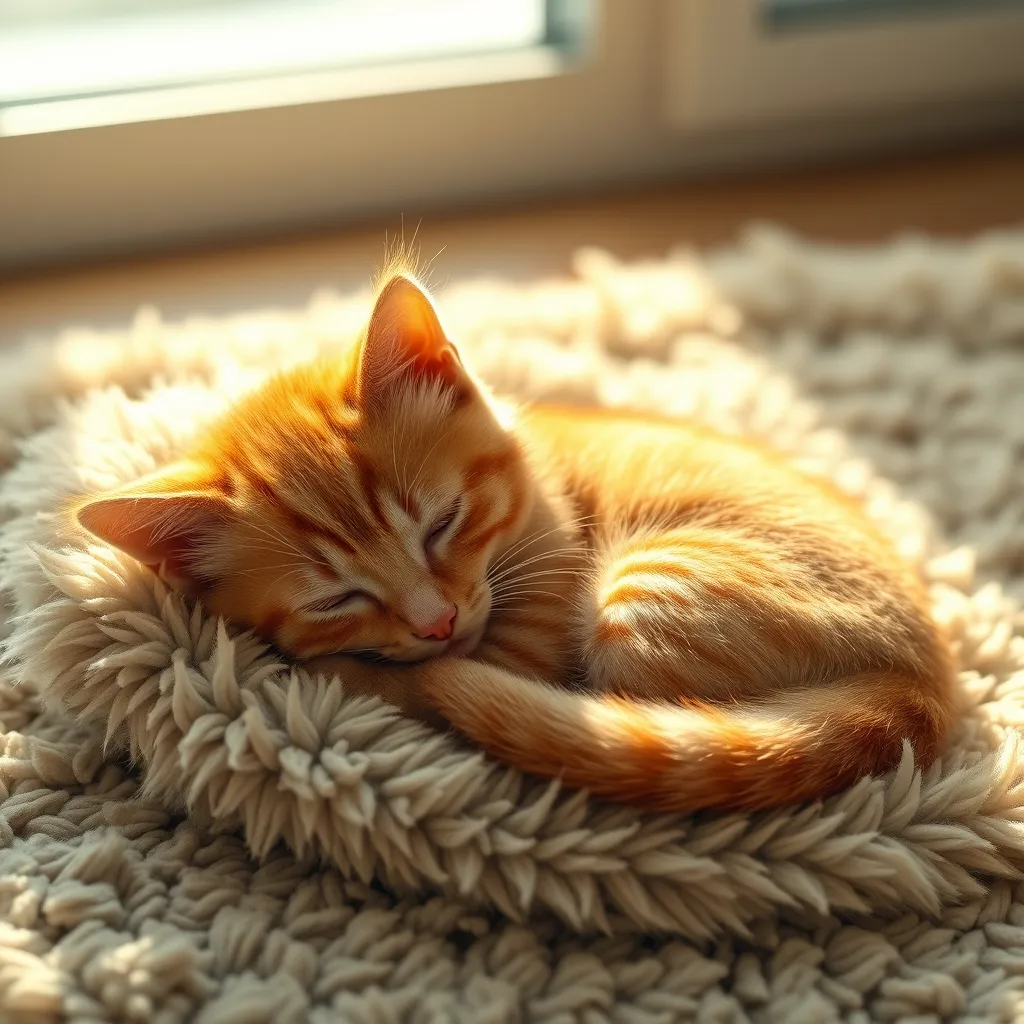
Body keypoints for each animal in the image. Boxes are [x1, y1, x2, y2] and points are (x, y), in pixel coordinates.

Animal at [72, 268, 950, 811]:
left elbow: (433, 678)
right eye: (335, 598)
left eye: (442, 522)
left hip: (646, 597)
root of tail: (922, 683)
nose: (436, 624)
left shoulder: (525, 632)